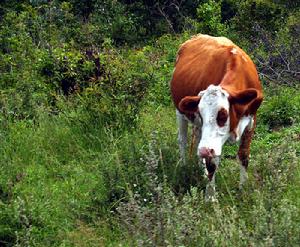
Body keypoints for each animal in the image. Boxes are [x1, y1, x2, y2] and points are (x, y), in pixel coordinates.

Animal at [170, 34, 264, 201]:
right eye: (201, 113)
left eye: (223, 114)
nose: (204, 150)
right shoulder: (210, 143)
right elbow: (212, 162)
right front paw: (210, 197)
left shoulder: (252, 119)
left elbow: (243, 155)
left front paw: (243, 189)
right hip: (179, 112)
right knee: (183, 141)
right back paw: (184, 165)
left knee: (197, 142)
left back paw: (201, 171)